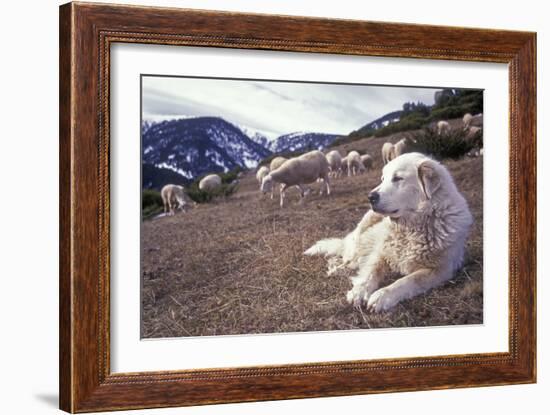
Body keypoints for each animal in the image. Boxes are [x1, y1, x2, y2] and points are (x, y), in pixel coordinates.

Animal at [306, 153, 474, 312]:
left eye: (398, 178)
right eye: (382, 179)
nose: (370, 197)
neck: (410, 229)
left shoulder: (440, 270)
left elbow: (408, 280)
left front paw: (382, 296)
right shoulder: (380, 253)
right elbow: (370, 273)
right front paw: (359, 291)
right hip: (363, 228)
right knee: (349, 259)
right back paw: (337, 268)